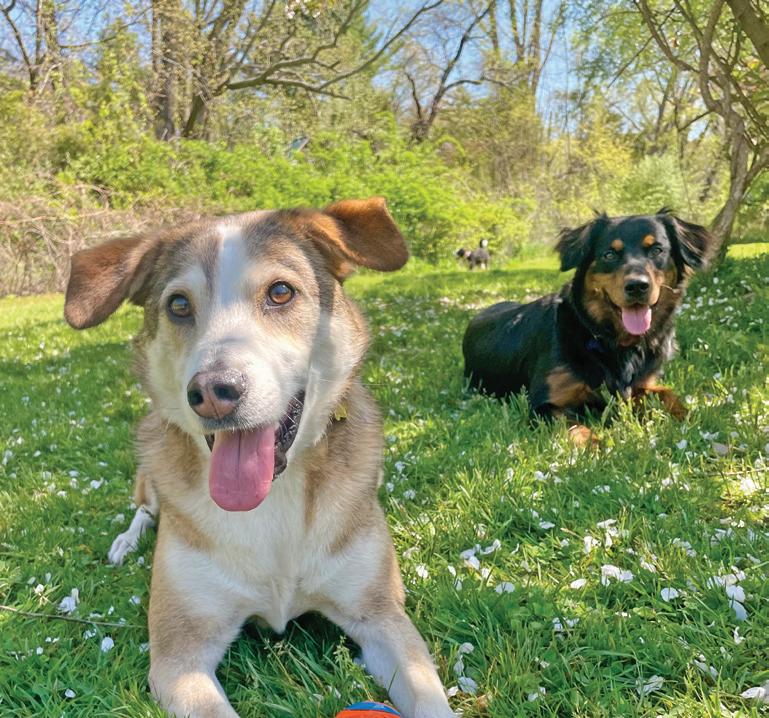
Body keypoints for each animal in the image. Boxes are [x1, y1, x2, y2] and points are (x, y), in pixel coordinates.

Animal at [64, 197, 454, 718]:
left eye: (281, 292)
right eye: (179, 305)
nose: (213, 393)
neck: (276, 498)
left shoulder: (382, 615)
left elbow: (429, 697)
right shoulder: (179, 656)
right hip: (148, 472)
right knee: (144, 510)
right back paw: (126, 542)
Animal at [462, 209, 715, 442]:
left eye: (656, 250)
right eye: (609, 254)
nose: (637, 286)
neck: (607, 339)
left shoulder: (640, 385)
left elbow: (667, 393)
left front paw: (693, 418)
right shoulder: (543, 405)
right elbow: (576, 429)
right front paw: (598, 450)